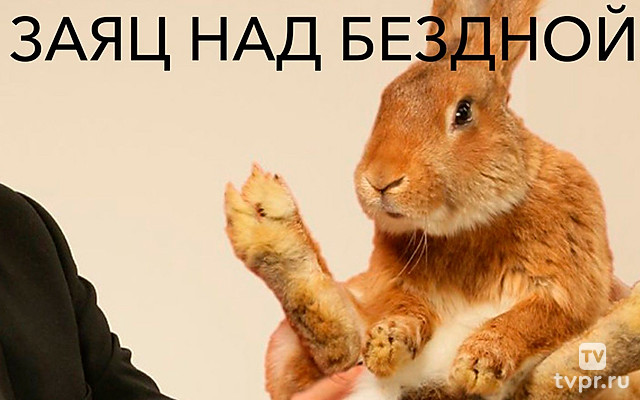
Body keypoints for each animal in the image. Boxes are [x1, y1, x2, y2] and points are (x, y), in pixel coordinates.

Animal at [224, 0, 620, 398]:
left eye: (463, 111)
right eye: (387, 99)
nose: (380, 180)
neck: (468, 227)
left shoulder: (573, 287)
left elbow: (534, 317)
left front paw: (478, 364)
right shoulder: (391, 285)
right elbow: (405, 307)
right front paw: (388, 342)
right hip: (292, 344)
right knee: (337, 342)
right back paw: (268, 228)